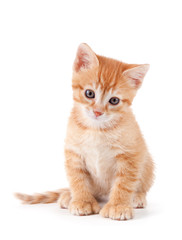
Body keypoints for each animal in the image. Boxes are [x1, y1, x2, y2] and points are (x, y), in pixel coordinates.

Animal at [16, 43, 154, 221]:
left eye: (114, 100)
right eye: (89, 93)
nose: (97, 112)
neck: (96, 129)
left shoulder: (131, 154)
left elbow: (124, 182)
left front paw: (119, 206)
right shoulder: (73, 152)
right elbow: (77, 178)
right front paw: (82, 201)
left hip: (148, 163)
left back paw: (137, 197)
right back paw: (69, 196)